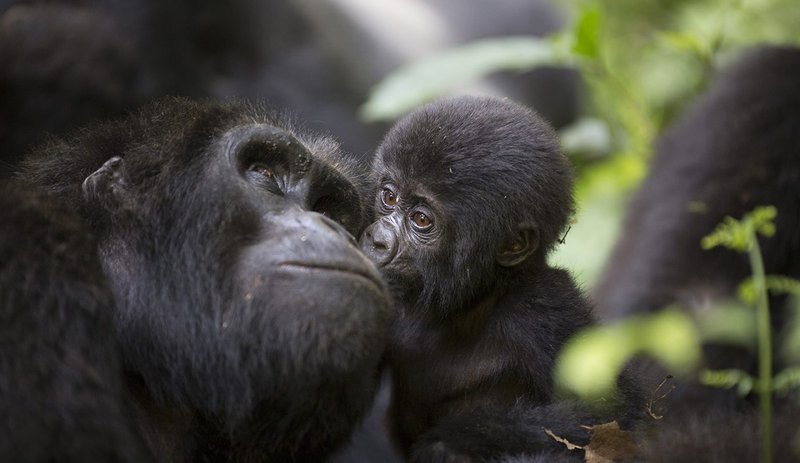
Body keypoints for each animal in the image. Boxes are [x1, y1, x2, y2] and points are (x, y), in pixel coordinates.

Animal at [362, 97, 600, 460]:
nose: (376, 240)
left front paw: (445, 443)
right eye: (389, 197)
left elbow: (608, 418)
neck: (470, 303)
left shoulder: (545, 307)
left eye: (421, 219)